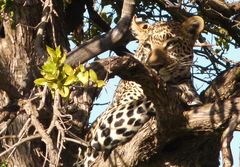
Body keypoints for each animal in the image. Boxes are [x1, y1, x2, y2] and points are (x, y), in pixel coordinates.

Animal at [80, 15, 204, 166]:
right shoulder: (105, 124)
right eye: (147, 46)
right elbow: (145, 100)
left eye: (171, 43)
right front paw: (185, 94)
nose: (155, 66)